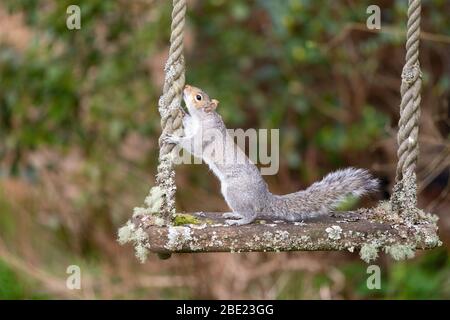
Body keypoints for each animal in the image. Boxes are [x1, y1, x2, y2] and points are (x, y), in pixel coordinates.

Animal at [163, 84, 378, 225]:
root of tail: (264, 199)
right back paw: (234, 215)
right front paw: (180, 111)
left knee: (252, 214)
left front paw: (174, 138)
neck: (205, 117)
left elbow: (193, 145)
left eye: (198, 97)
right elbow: (187, 122)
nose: (186, 87)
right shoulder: (194, 125)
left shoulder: (206, 136)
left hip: (234, 191)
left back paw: (239, 220)